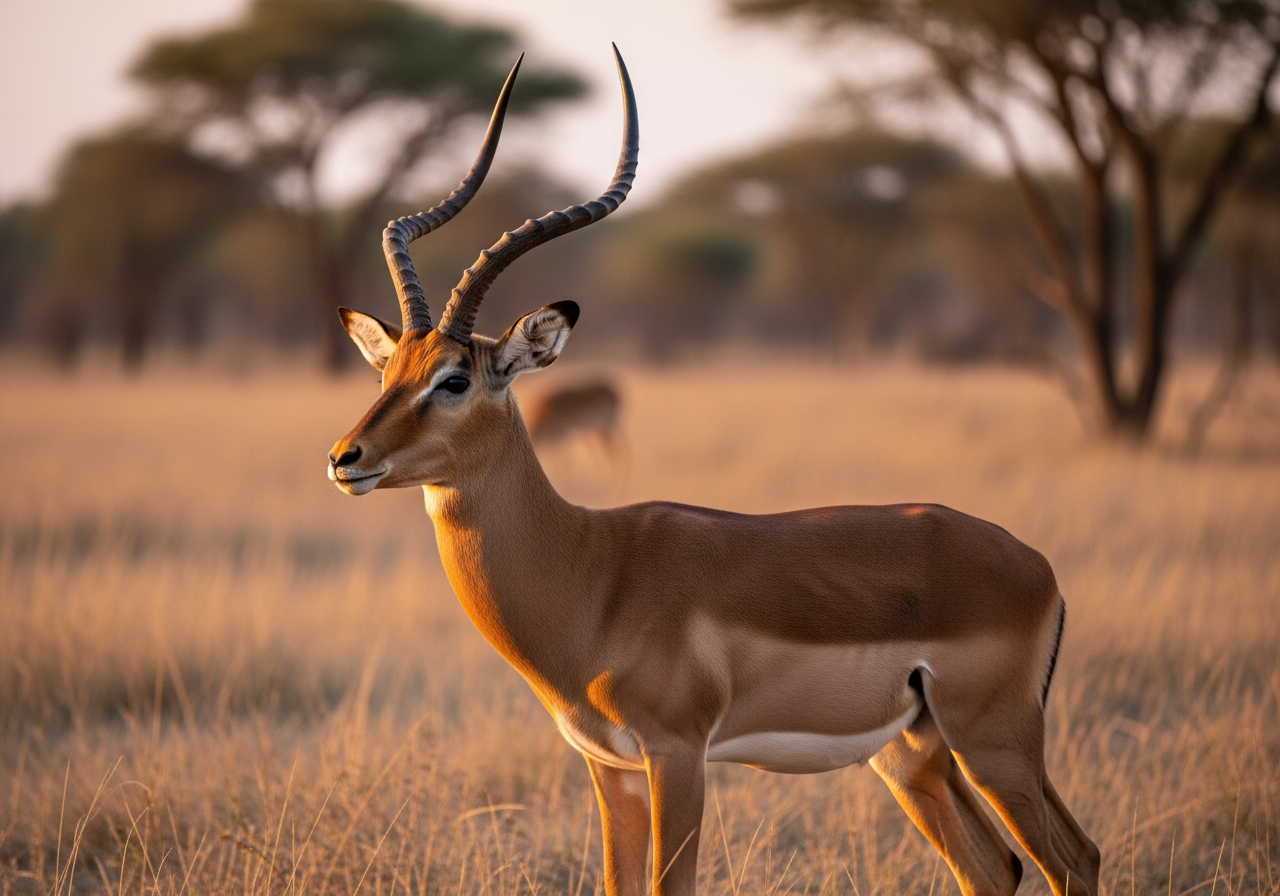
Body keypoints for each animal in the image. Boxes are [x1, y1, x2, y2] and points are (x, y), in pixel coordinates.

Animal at [327, 48, 1100, 896]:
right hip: (914, 754)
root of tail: (1036, 566)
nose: (345, 458)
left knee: (1073, 859)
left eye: (454, 379)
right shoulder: (611, 769)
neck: (590, 570)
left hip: (993, 741)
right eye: (387, 372)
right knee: (997, 867)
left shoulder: (677, 753)